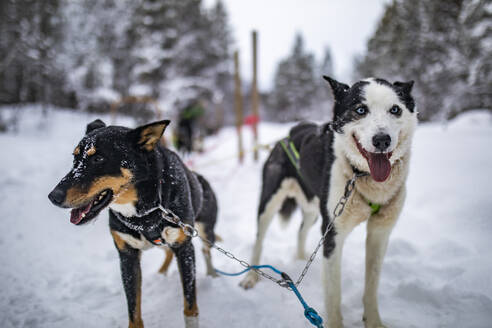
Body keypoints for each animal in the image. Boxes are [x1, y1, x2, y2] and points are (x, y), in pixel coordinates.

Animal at [48, 120, 217, 328]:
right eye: (75, 158)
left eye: (99, 159)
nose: (53, 196)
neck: (145, 211)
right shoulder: (127, 256)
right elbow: (133, 309)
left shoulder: (184, 247)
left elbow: (190, 306)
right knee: (168, 252)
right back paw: (161, 273)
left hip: (204, 231)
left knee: (206, 251)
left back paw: (212, 275)